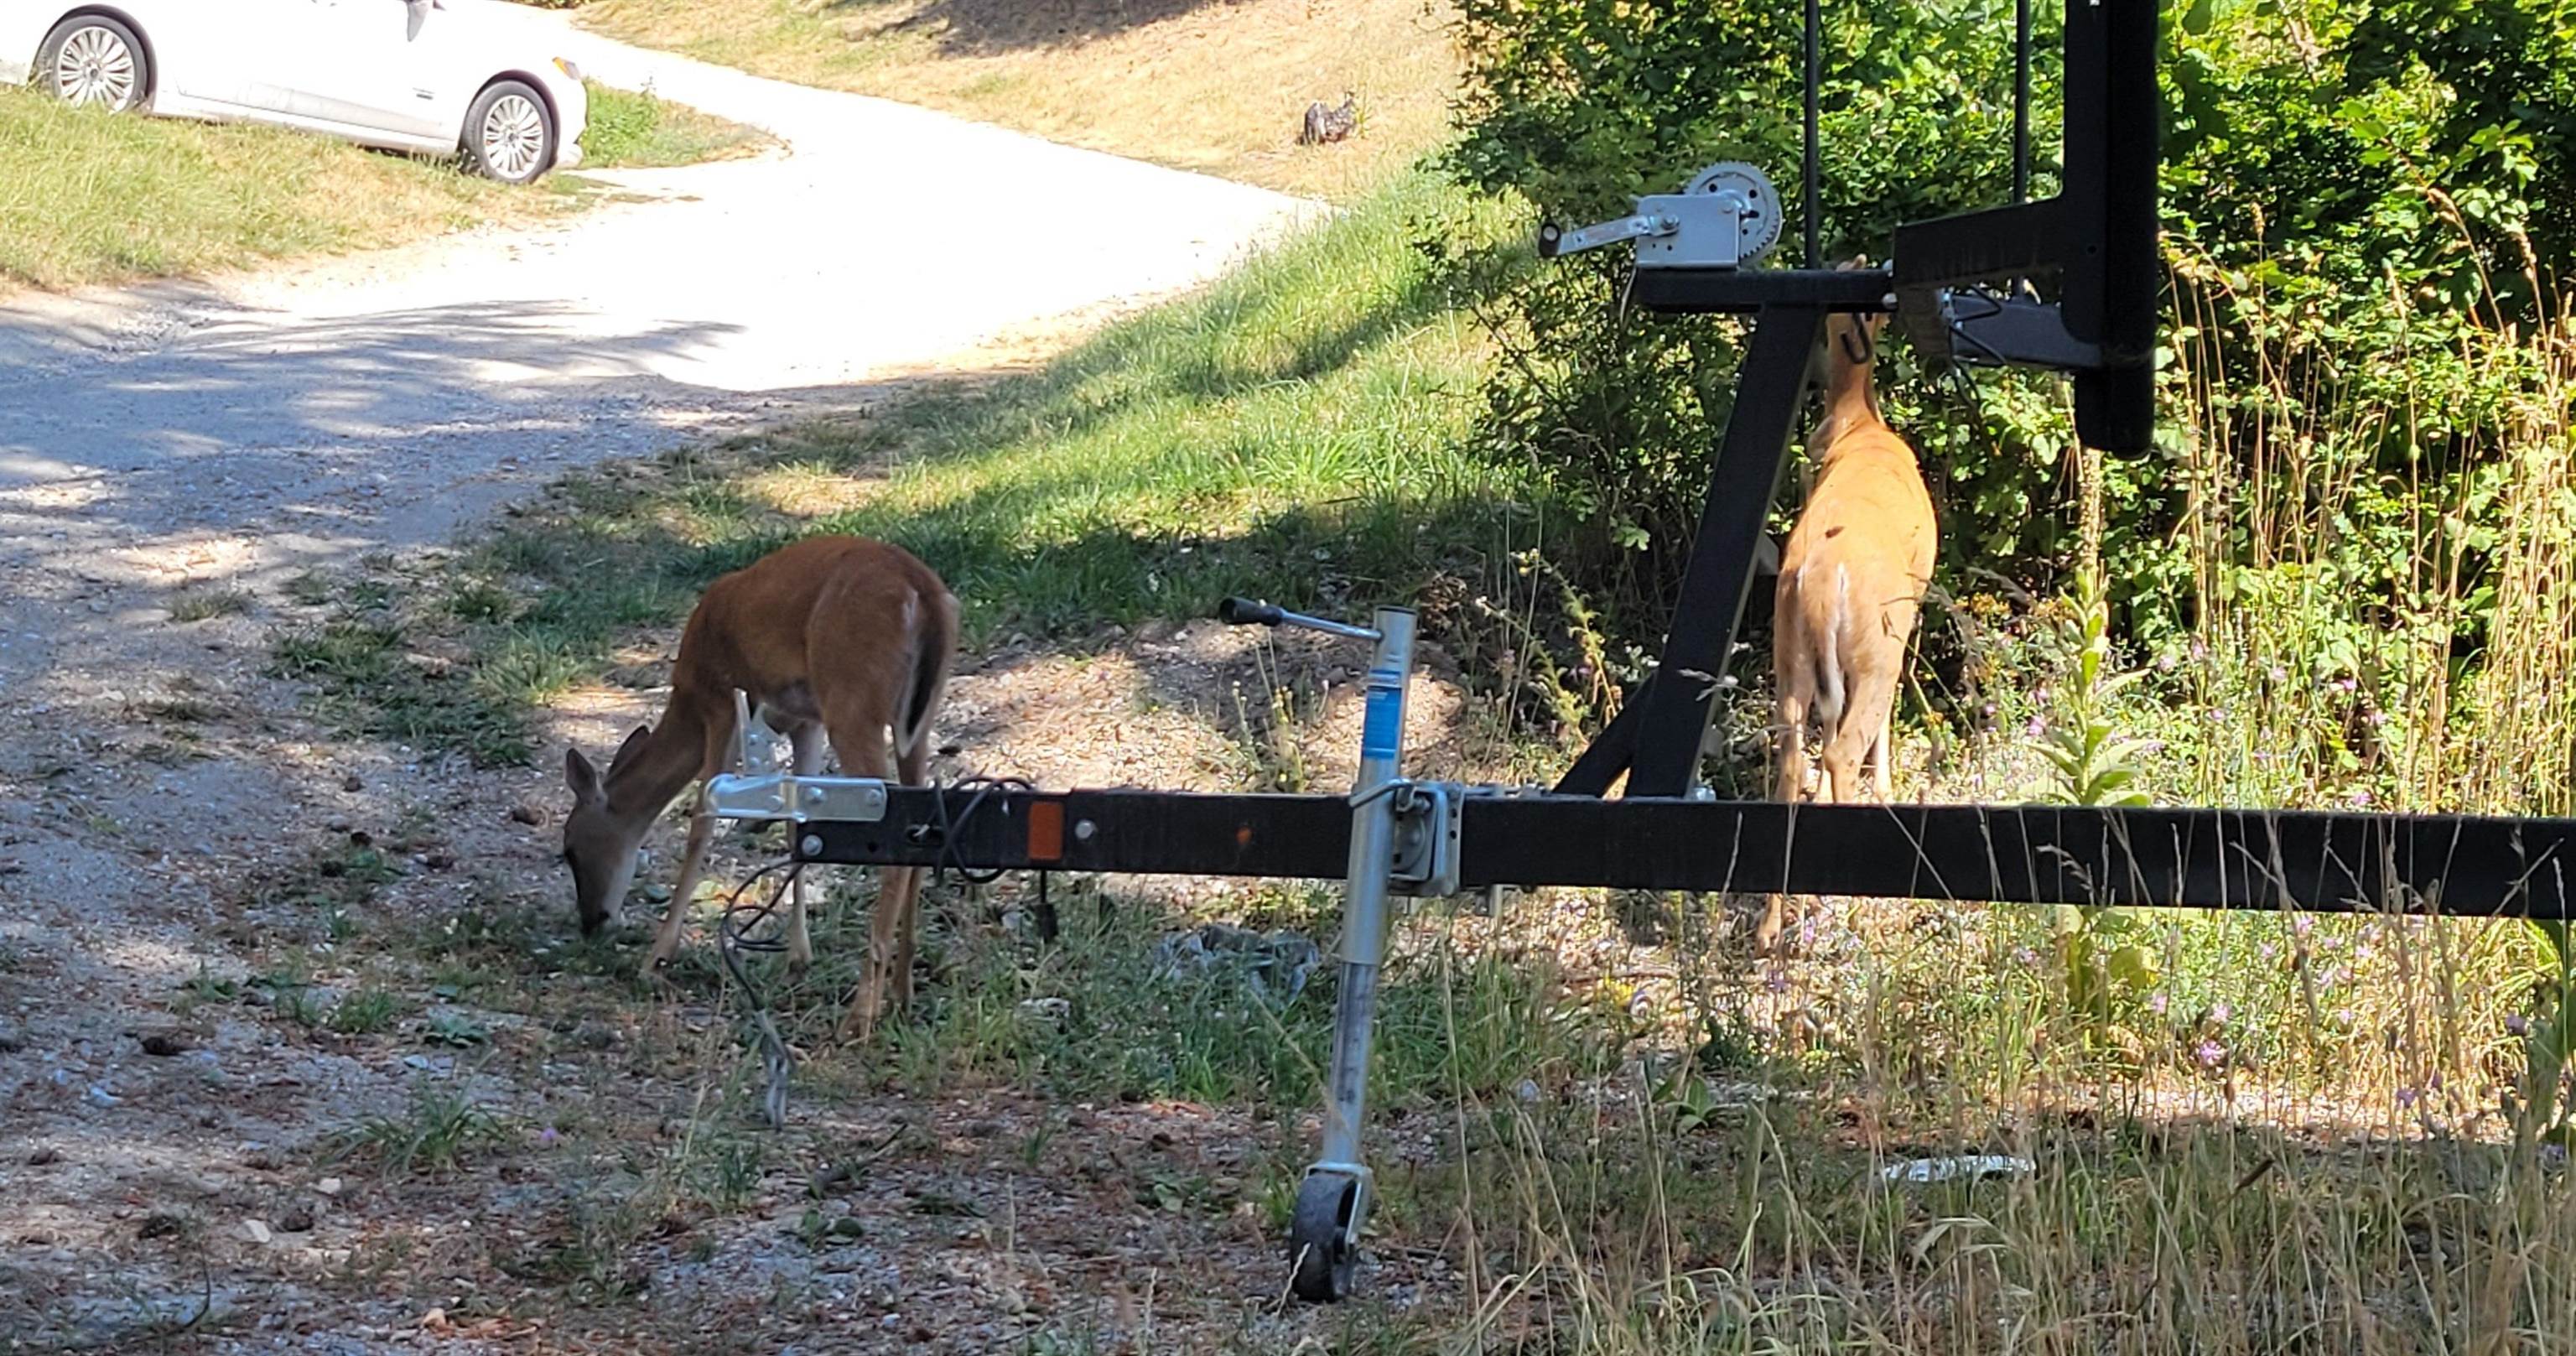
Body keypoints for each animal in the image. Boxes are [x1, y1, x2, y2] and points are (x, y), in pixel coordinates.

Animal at [559, 535, 958, 1039]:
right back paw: (902, 991)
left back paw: (861, 1014)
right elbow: (796, 826)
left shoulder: (720, 701)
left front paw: (657, 957)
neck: (686, 698)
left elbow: (702, 825)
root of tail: (922, 589)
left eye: (570, 849)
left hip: (852, 698)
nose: (591, 922)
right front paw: (798, 956)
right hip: (915, 720)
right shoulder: (805, 721)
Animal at [1758, 266, 1938, 954]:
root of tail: (1821, 579)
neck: (1860, 425)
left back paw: (1770, 924)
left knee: (1790, 758)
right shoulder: (1913, 601)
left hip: (1787, 647)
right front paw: (1888, 786)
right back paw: (1848, 903)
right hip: (1874, 640)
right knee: (1843, 744)